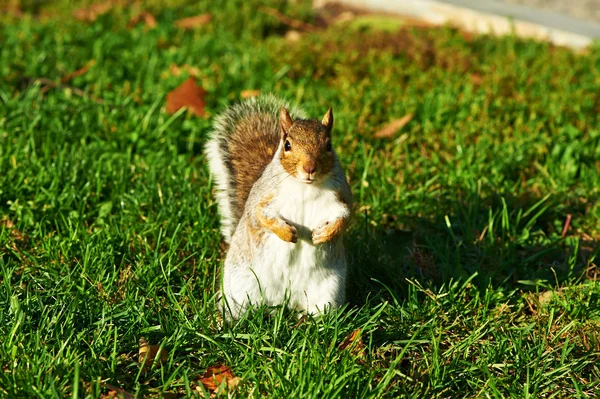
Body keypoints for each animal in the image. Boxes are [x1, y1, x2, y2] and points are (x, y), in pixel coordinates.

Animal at [205, 94, 352, 322]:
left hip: (328, 292)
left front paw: (325, 234)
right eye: (287, 145)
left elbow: (345, 217)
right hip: (240, 286)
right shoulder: (264, 196)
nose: (309, 168)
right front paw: (286, 233)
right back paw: (226, 322)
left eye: (329, 145)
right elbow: (259, 215)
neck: (305, 187)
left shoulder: (341, 197)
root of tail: (283, 301)